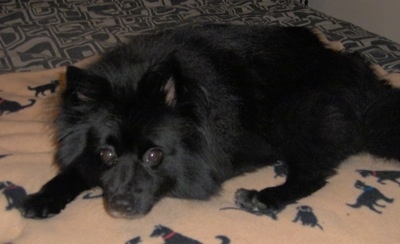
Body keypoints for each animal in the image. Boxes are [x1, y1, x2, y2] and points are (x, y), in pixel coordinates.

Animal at [20, 24, 400, 219]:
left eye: (155, 156)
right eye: (107, 154)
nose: (120, 207)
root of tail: (369, 85)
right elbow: (73, 170)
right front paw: (43, 198)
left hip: (299, 114)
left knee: (313, 174)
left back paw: (265, 197)